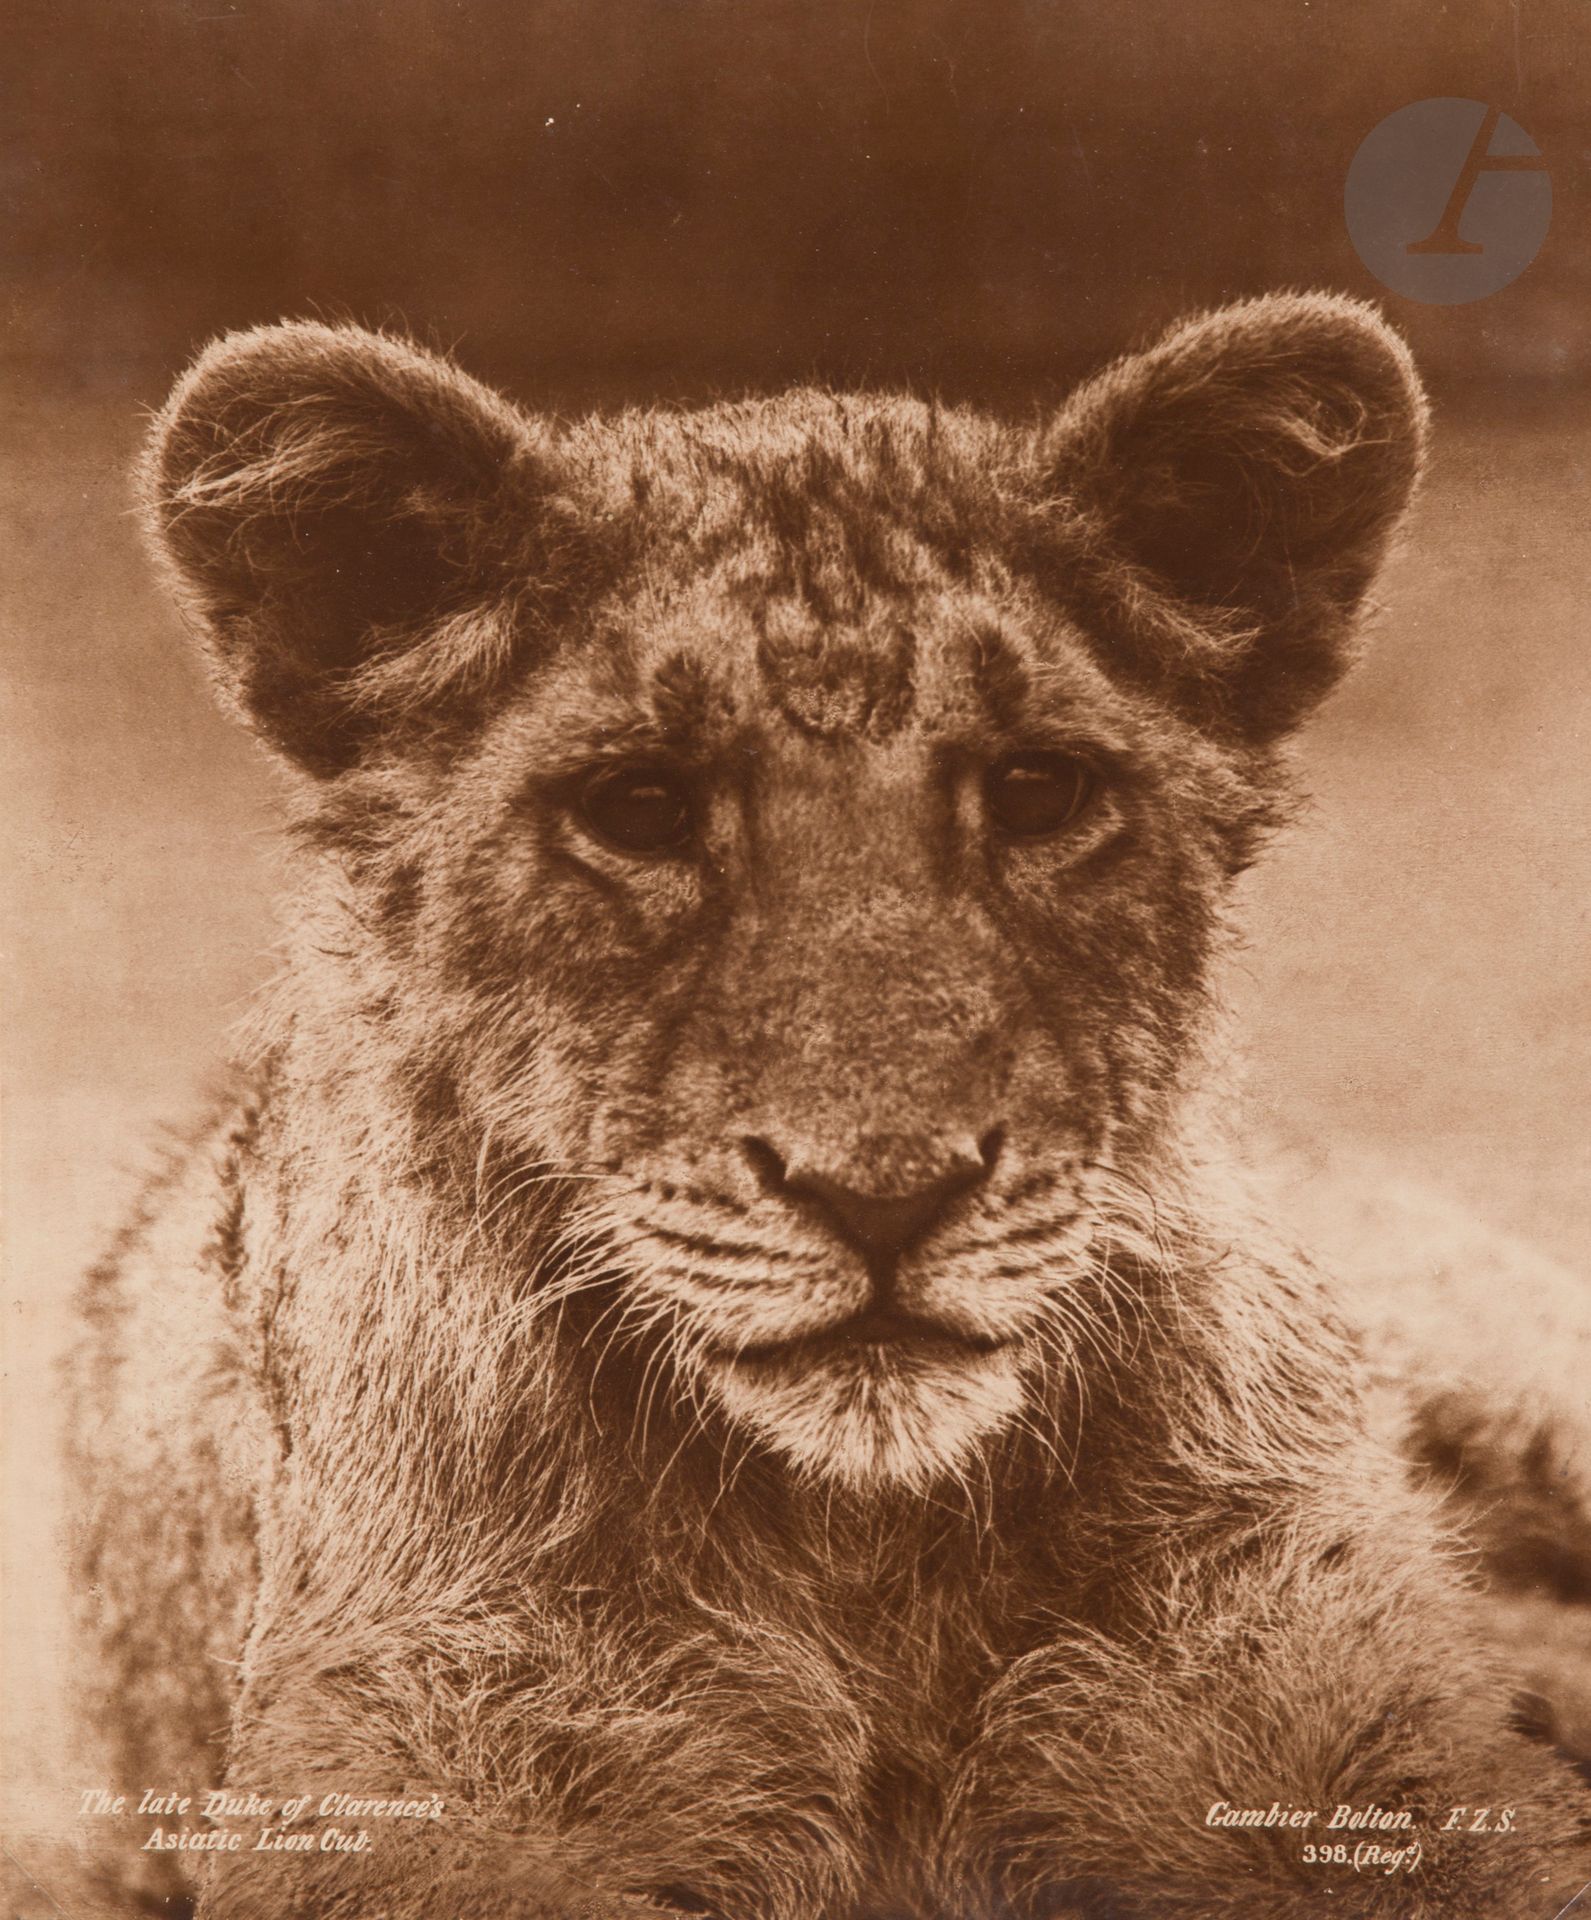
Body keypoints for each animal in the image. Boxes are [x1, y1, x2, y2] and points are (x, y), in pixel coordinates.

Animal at [55, 294, 1591, 1920]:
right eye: (639, 808)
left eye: (1036, 792)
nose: (885, 1191)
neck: (866, 1566)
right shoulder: (434, 1789)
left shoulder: (1337, 1730)